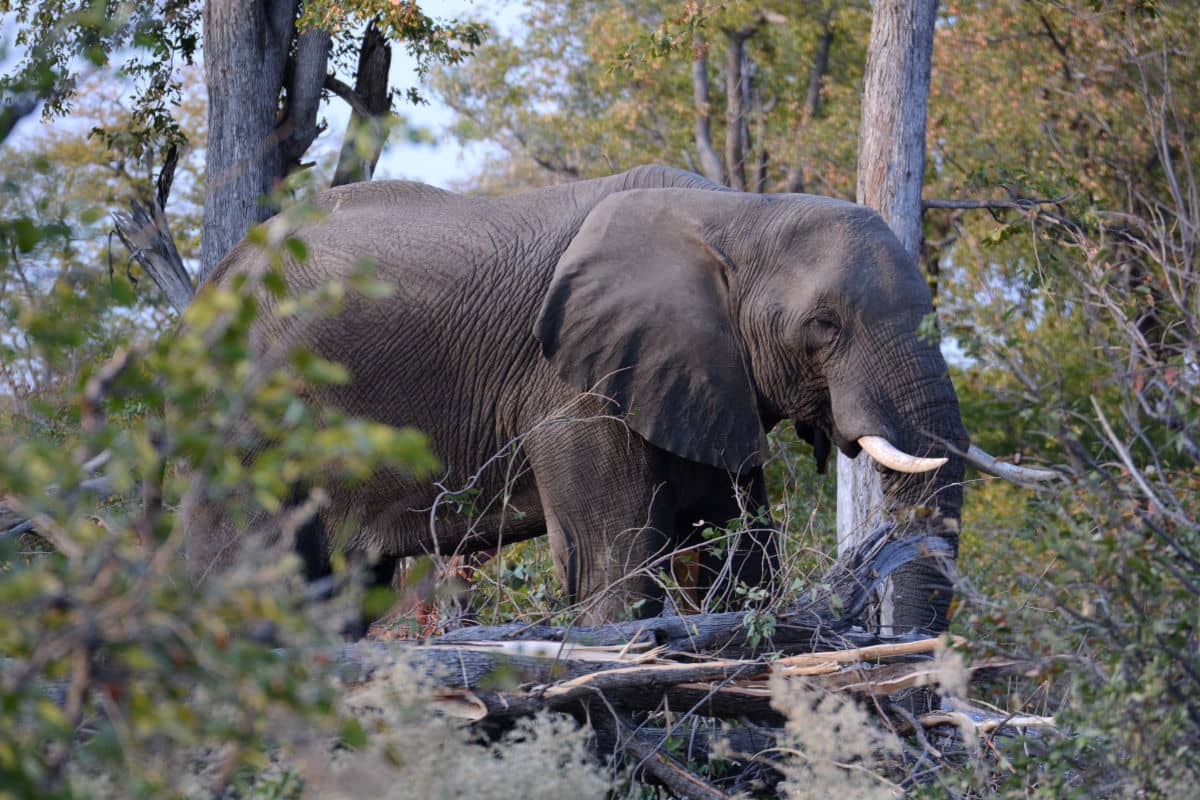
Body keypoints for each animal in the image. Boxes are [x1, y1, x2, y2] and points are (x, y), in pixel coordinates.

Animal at [183, 164, 1046, 629]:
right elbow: (614, 561)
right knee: (241, 576)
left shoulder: (700, 375)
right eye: (824, 326)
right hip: (246, 417)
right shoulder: (573, 385)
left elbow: (738, 545)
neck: (740, 213)